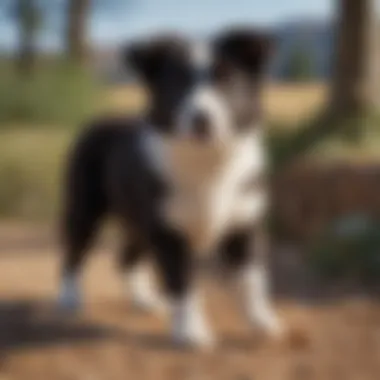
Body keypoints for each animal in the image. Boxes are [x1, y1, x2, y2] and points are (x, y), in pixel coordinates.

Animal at [59, 28, 282, 348]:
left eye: (226, 79)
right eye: (178, 84)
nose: (201, 119)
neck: (206, 161)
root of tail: (99, 121)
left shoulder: (245, 225)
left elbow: (251, 280)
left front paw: (263, 323)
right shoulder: (168, 233)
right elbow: (182, 283)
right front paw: (191, 333)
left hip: (138, 220)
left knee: (126, 258)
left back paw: (144, 300)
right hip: (86, 207)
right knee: (74, 252)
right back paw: (69, 299)